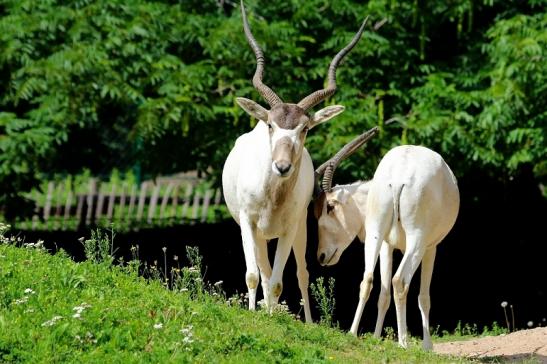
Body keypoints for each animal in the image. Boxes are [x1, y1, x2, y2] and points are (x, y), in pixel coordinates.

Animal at [222, 0, 368, 324]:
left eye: (304, 129)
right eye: (271, 125)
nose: (282, 166)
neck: (272, 195)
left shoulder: (290, 228)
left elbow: (279, 282)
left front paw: (273, 318)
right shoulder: (247, 224)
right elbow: (254, 275)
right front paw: (256, 315)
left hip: (297, 232)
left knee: (301, 273)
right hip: (260, 235)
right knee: (262, 272)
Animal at [314, 132, 460, 350]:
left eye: (330, 206)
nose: (322, 256)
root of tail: (399, 177)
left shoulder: (386, 245)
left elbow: (383, 295)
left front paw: (375, 338)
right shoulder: (430, 248)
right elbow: (424, 297)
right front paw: (427, 346)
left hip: (376, 232)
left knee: (367, 279)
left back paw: (352, 333)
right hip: (417, 241)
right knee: (399, 281)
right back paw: (403, 343)